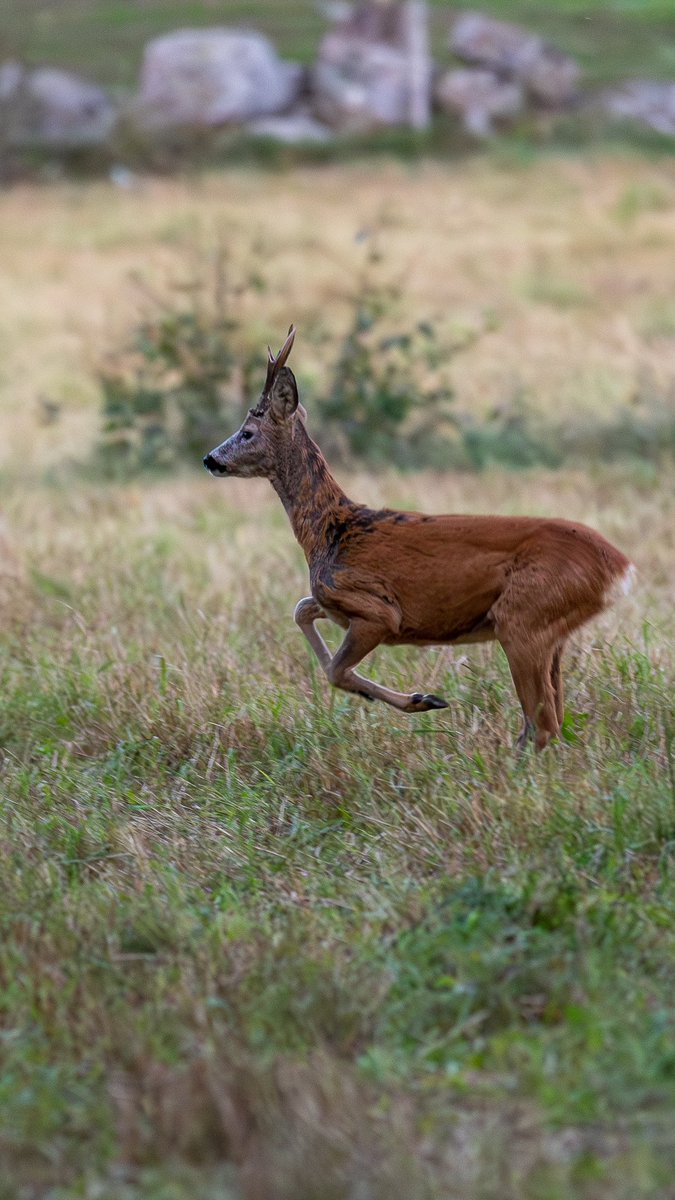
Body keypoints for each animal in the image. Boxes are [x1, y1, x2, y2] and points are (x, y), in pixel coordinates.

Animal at [204, 327, 634, 751]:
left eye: (247, 432)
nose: (210, 459)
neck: (330, 532)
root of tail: (621, 566)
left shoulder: (378, 609)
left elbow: (336, 670)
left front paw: (424, 699)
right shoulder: (335, 601)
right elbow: (302, 610)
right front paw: (400, 696)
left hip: (522, 618)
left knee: (543, 724)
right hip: (548, 627)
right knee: (550, 721)